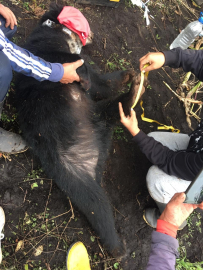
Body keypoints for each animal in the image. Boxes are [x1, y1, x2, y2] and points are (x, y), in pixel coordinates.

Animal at [15, 3, 146, 258]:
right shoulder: (49, 52)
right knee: (97, 205)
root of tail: (91, 160)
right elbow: (85, 71)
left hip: (98, 120)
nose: (92, 34)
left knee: (112, 110)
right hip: (73, 170)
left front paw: (128, 73)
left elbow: (100, 83)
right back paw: (118, 248)